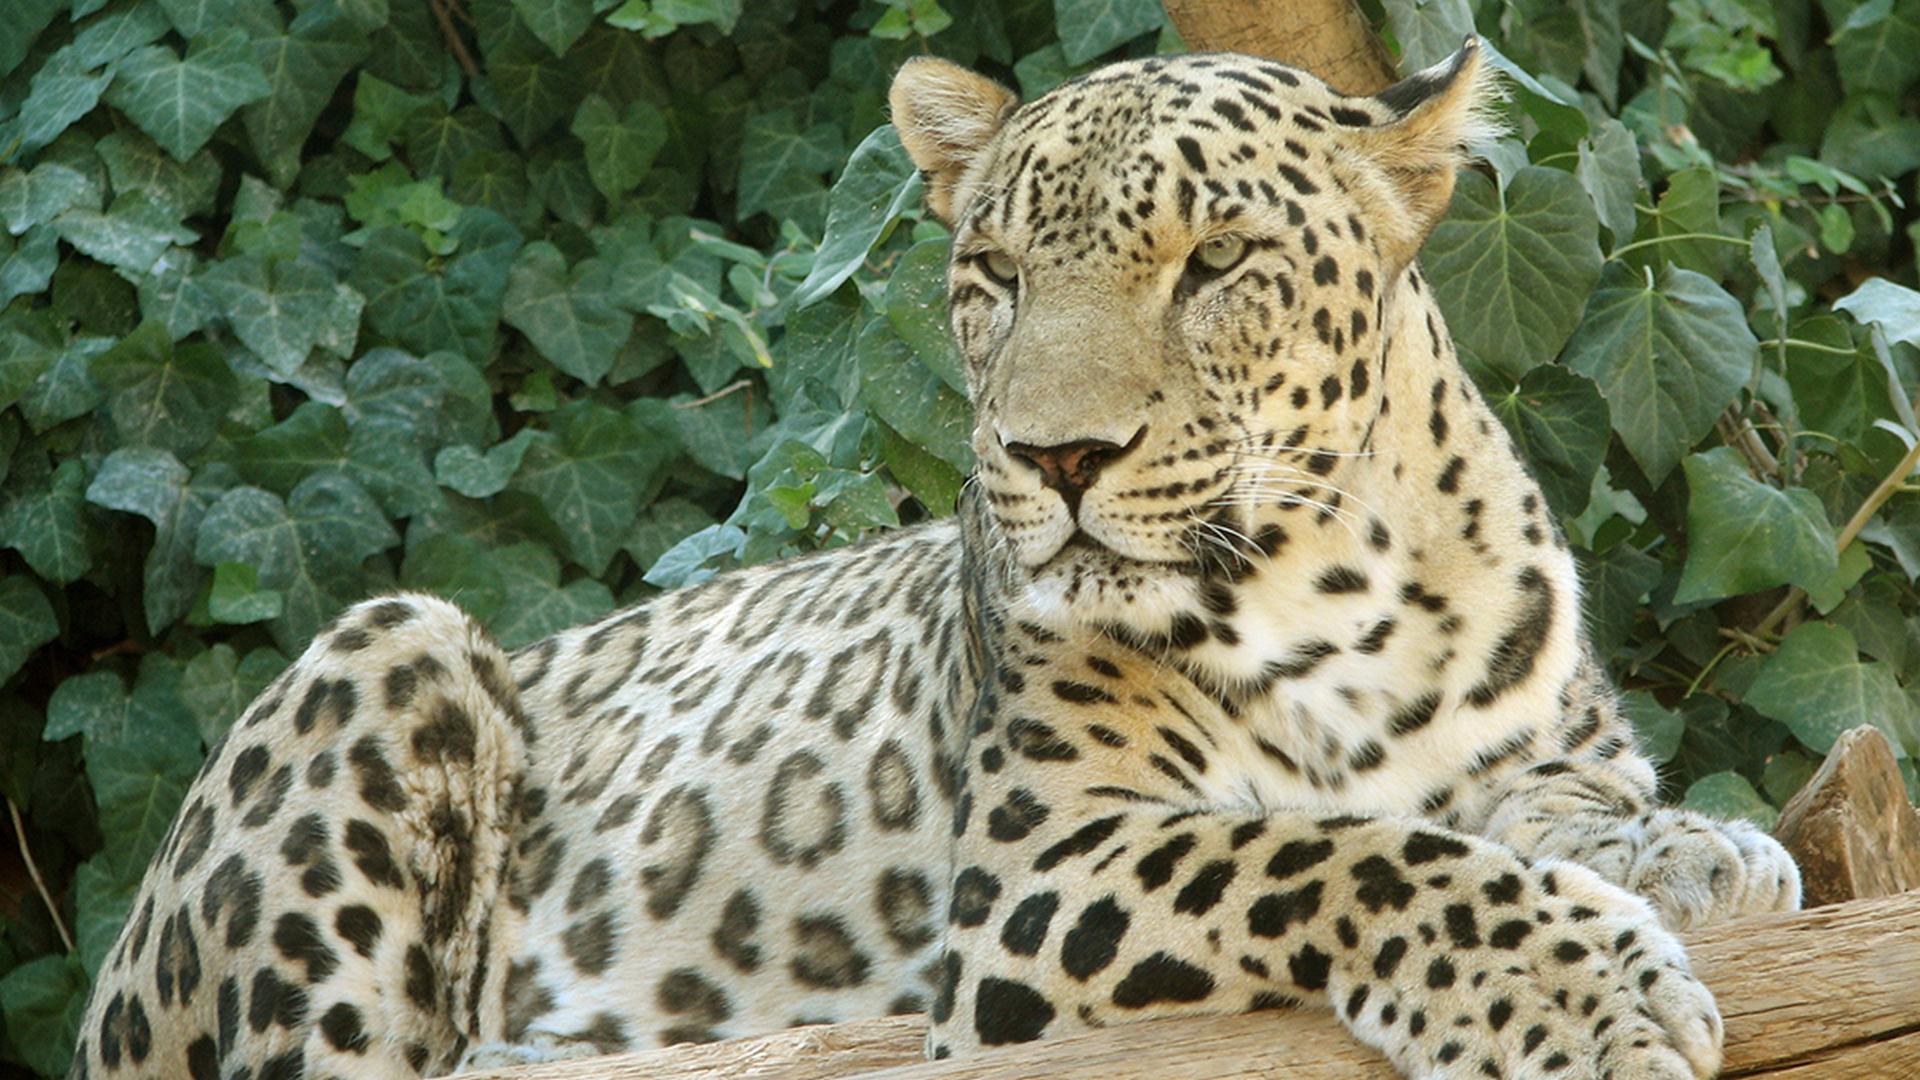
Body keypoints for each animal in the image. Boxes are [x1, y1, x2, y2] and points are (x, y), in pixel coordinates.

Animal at [69, 38, 1800, 1080]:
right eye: (996, 273)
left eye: (1217, 261)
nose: (1055, 460)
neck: (1341, 590)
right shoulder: (1041, 869)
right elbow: (1341, 854)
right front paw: (1590, 998)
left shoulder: (1536, 747)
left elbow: (1553, 807)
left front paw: (1707, 852)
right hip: (389, 642)